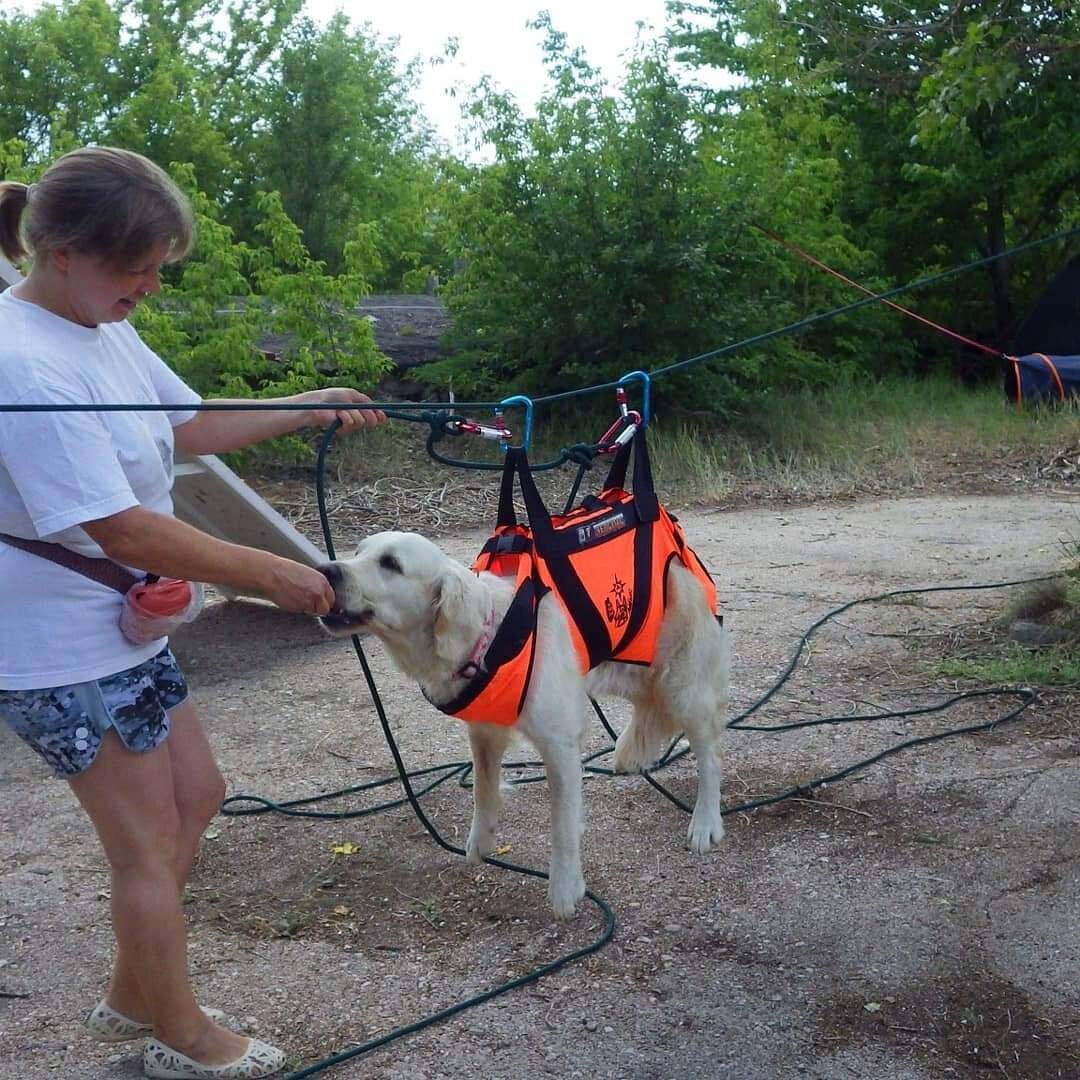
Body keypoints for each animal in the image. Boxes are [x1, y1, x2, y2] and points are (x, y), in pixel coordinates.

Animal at [315, 527, 730, 915]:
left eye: (390, 564)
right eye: (358, 552)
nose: (326, 571)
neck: (491, 636)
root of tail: (680, 557)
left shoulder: (559, 745)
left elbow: (562, 825)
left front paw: (565, 887)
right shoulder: (483, 733)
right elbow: (483, 790)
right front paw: (480, 841)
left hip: (682, 686)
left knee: (709, 756)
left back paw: (705, 822)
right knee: (650, 709)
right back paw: (634, 755)